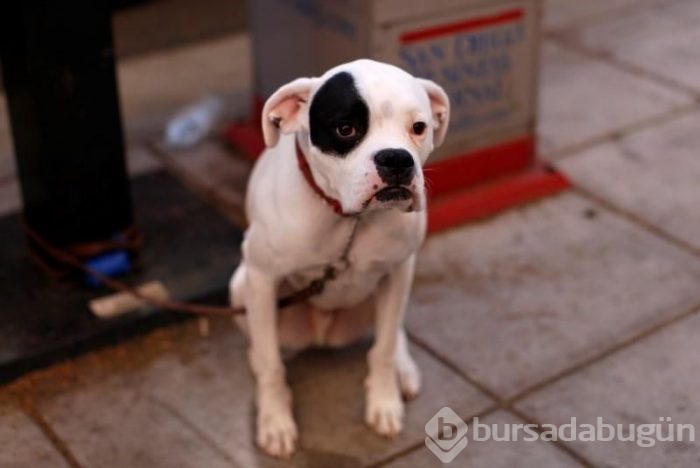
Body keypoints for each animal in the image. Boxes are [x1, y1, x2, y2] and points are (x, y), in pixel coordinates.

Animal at [230, 58, 448, 458]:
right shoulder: (262, 277)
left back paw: (403, 369)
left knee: (393, 330)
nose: (396, 159)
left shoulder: (398, 270)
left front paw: (384, 402)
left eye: (419, 127)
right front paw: (275, 422)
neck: (349, 221)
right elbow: (271, 364)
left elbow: (384, 347)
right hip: (241, 287)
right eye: (345, 129)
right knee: (263, 344)